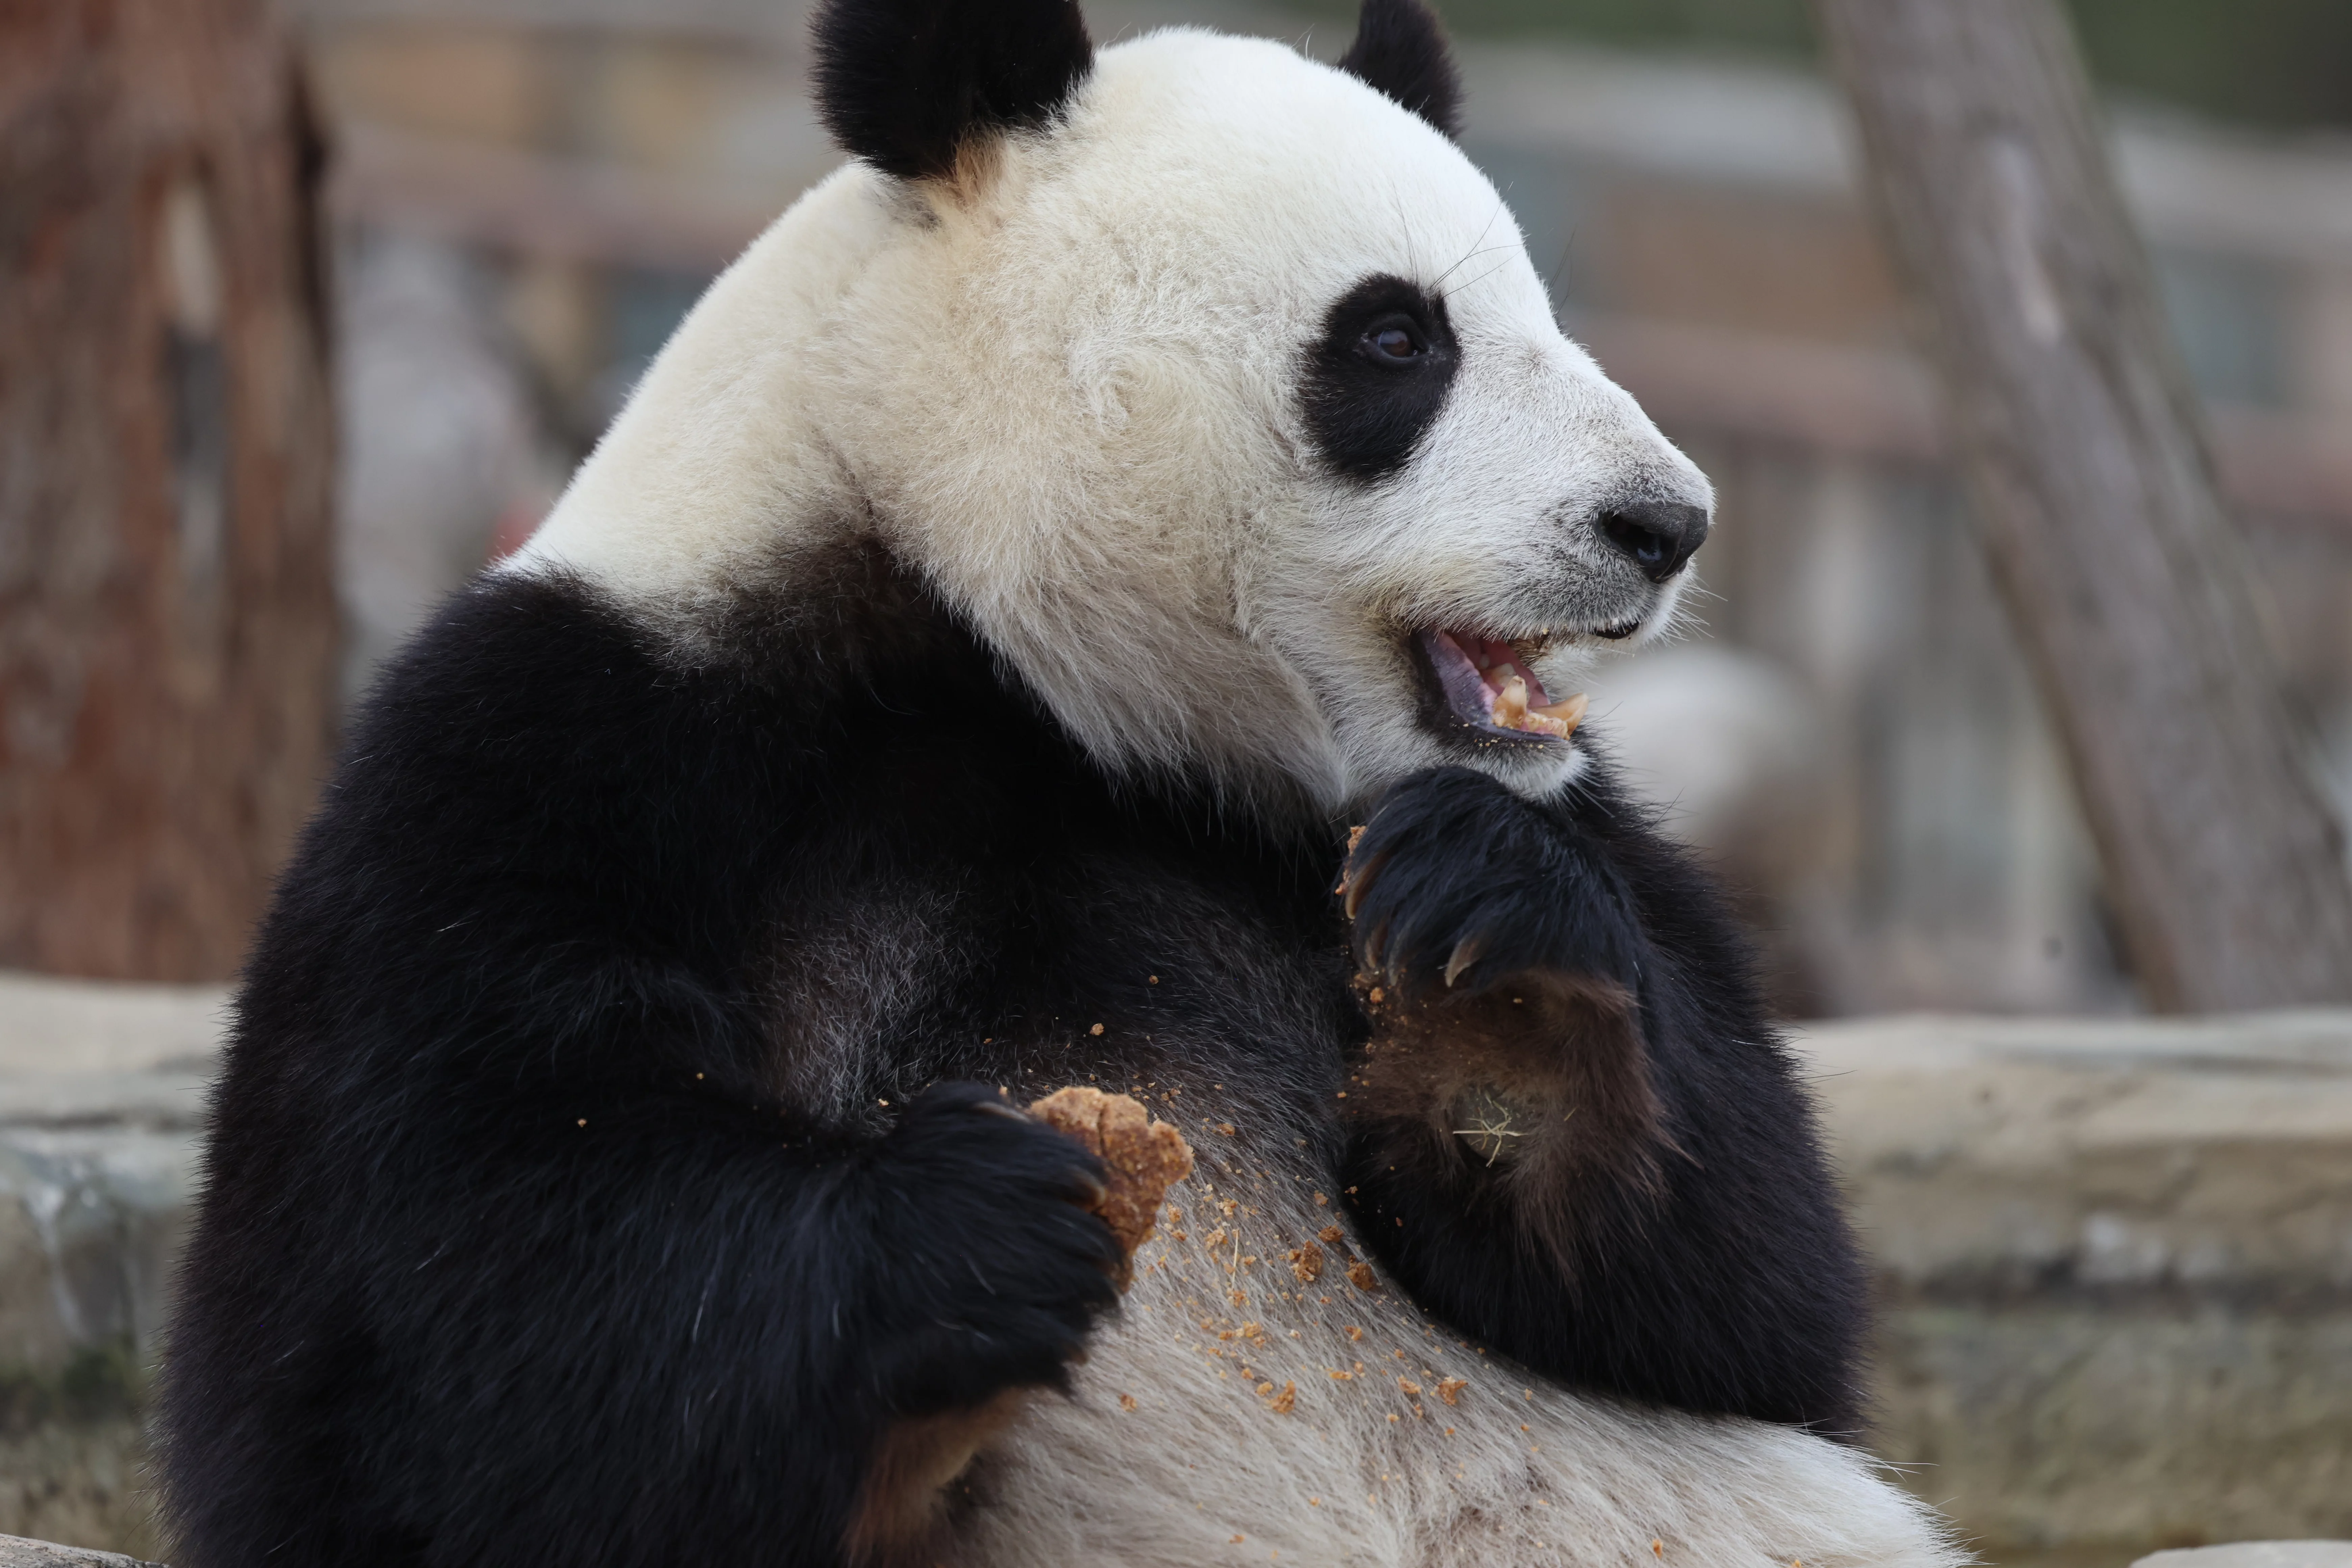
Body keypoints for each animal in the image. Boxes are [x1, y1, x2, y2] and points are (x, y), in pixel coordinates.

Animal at [156, 0, 1966, 1564]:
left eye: (1544, 314)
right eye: (1398, 336)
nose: (1665, 522)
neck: (1010, 670)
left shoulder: (1513, 815)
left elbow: (1758, 1299)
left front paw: (1503, 988)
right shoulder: (568, 743)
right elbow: (415, 1336)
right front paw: (968, 1231)